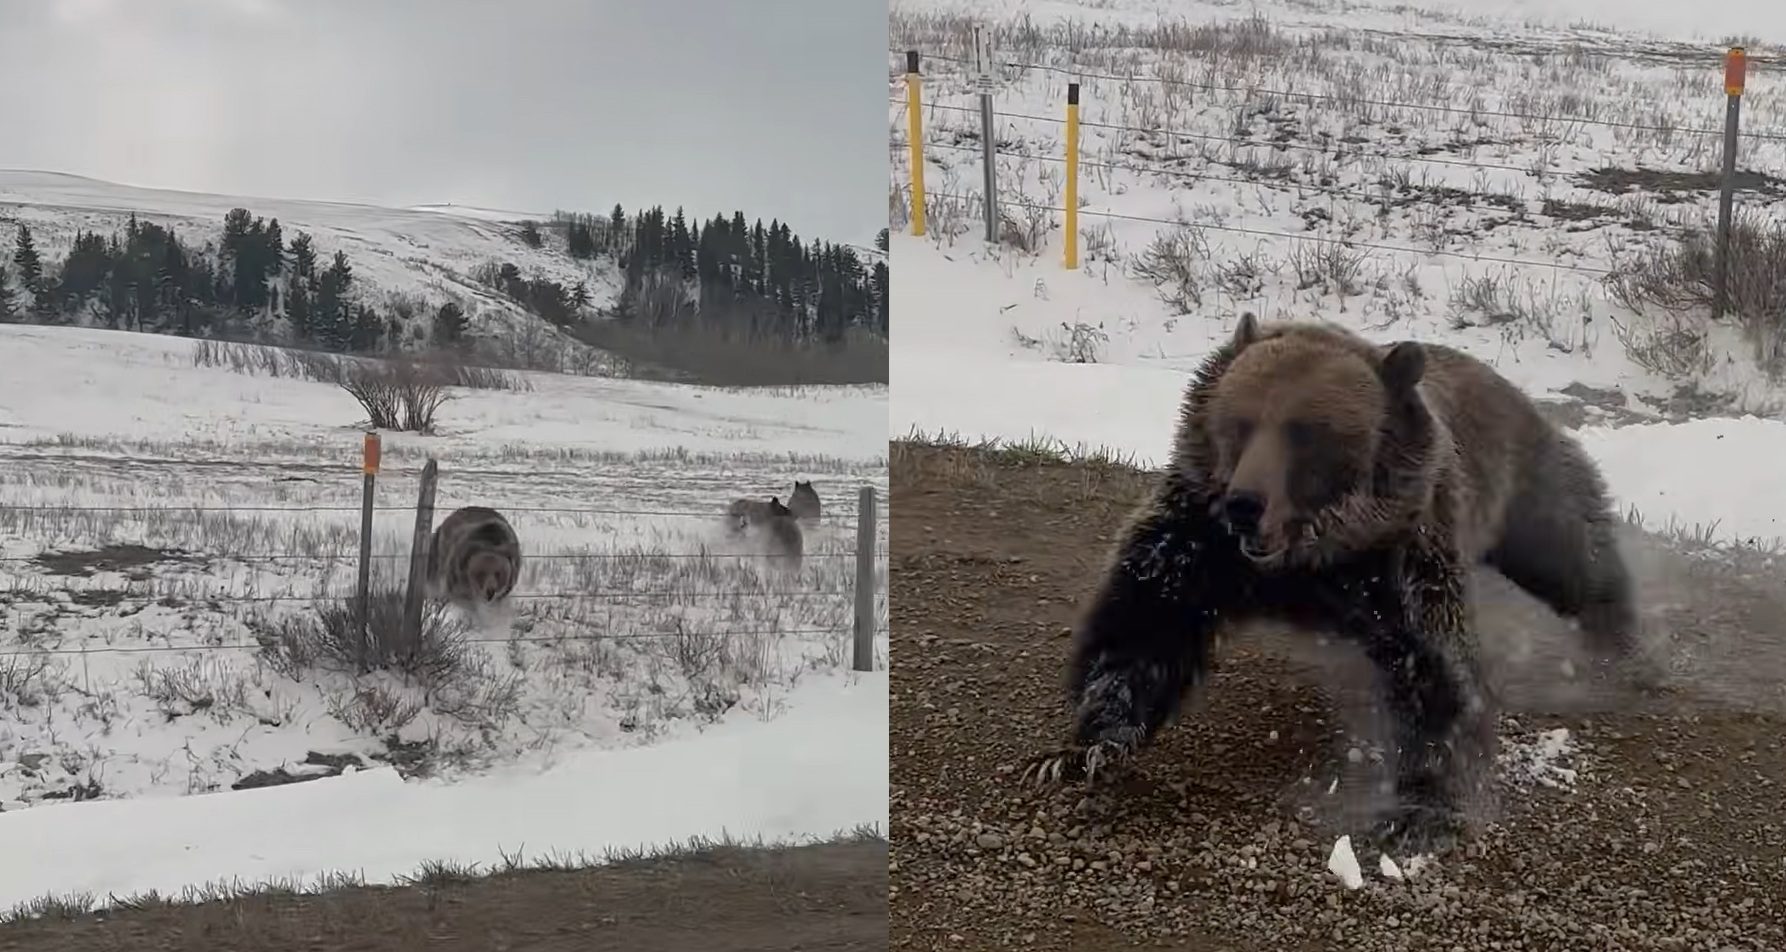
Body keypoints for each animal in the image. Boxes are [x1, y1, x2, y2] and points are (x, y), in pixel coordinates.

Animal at [1022, 313, 1636, 854]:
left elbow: (1439, 671)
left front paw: (1419, 812)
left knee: (1577, 558)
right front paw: (1078, 751)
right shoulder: (1198, 540)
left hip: (1526, 487)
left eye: (1308, 432)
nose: (1246, 504)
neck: (1312, 557)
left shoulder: (1402, 557)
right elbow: (1142, 626)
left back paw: (1622, 642)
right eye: (1240, 421)